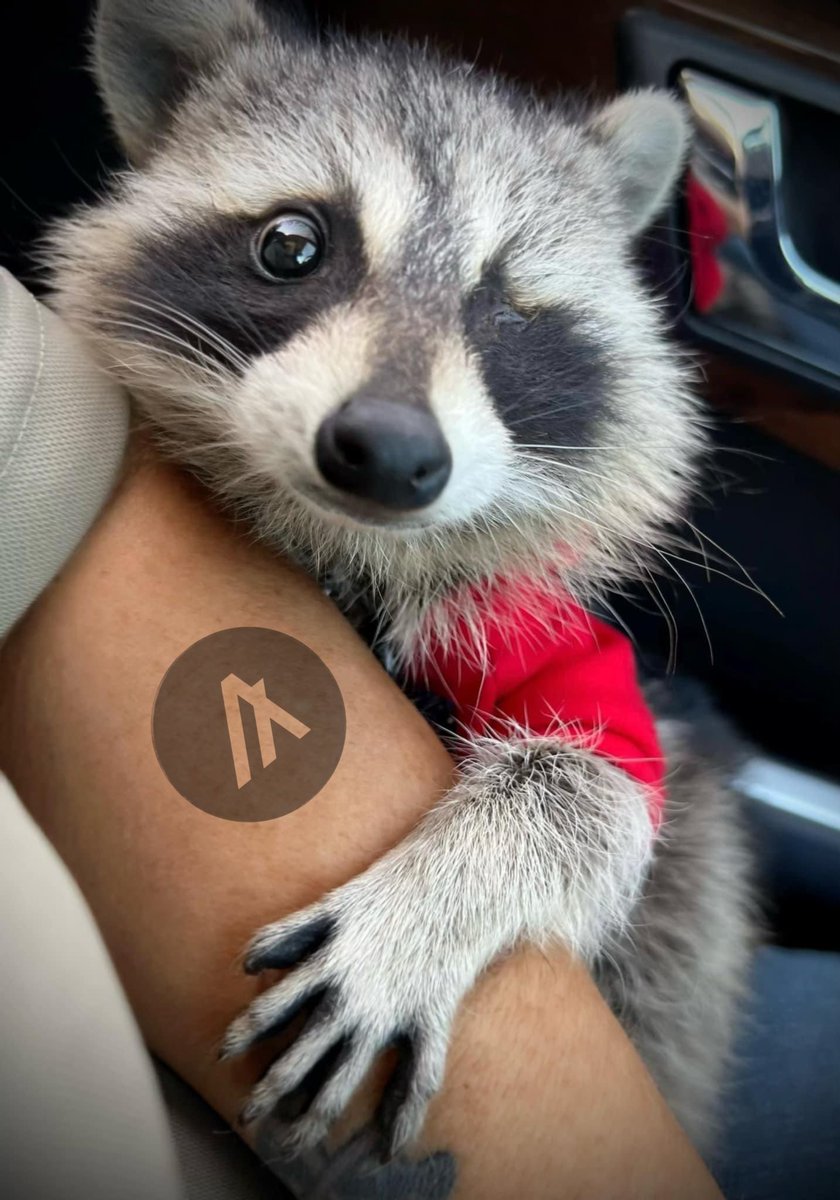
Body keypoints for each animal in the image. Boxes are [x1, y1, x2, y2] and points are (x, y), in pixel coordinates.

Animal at [48, 0, 755, 1166]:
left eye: (508, 309)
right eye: (292, 244)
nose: (387, 451)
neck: (349, 551)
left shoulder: (545, 643)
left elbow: (605, 790)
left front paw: (440, 898)